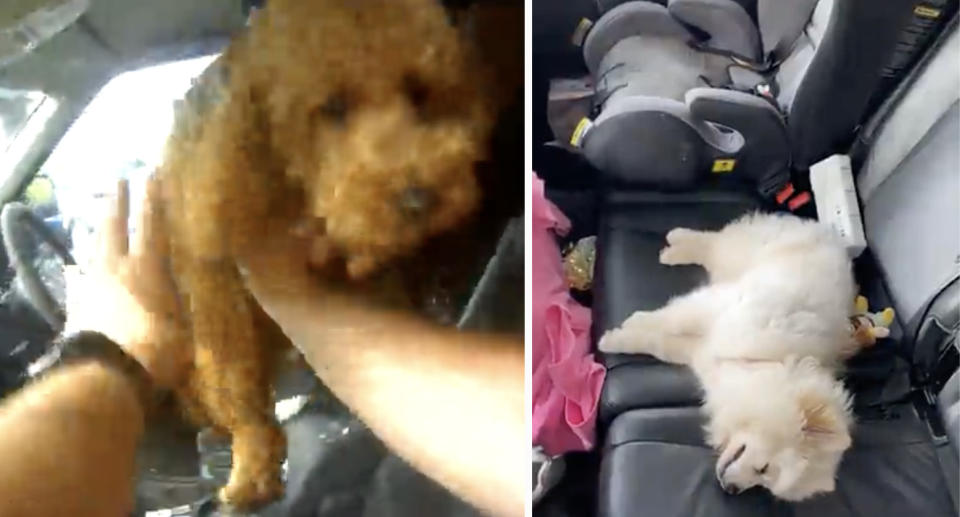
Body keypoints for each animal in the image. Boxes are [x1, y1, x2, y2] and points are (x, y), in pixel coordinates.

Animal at [154, 0, 506, 508]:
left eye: (418, 92)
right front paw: (252, 466)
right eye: (332, 107)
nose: (422, 200)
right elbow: (239, 384)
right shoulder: (217, 283)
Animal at [600, 213, 864, 500]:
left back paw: (674, 249)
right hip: (746, 251)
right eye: (763, 468)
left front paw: (622, 337)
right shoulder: (721, 309)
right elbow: (673, 319)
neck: (763, 363)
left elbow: (659, 343)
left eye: (763, 483)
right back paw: (677, 240)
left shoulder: (702, 349)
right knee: (716, 240)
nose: (731, 490)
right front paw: (623, 331)